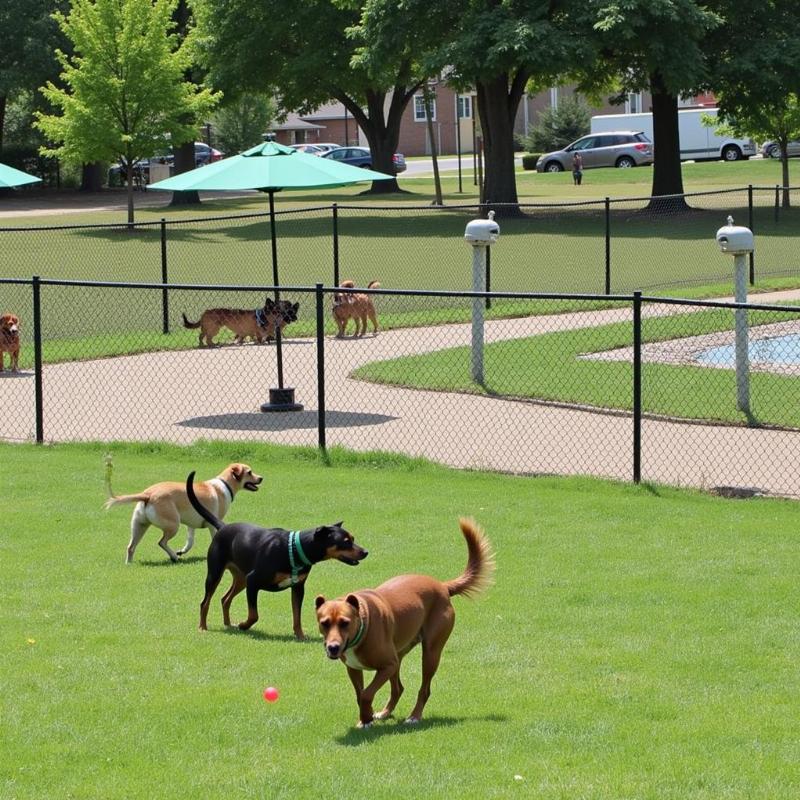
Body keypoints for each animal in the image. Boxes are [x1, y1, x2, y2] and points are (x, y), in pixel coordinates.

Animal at [103, 462, 264, 564]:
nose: (262, 478)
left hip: (139, 525)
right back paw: (174, 557)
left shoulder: (191, 525)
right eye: (249, 472)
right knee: (161, 542)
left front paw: (182, 551)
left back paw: (129, 564)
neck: (224, 485)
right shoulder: (213, 524)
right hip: (173, 525)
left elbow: (190, 542)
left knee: (131, 547)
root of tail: (147, 494)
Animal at [187, 468, 368, 636]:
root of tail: (223, 527)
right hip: (216, 573)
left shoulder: (298, 587)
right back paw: (203, 627)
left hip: (241, 578)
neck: (293, 550)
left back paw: (228, 624)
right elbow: (254, 615)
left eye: (353, 538)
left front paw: (300, 635)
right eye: (346, 542)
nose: (365, 552)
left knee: (225, 599)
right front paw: (244, 625)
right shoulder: (253, 581)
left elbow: (297, 616)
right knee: (205, 602)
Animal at [314, 516, 490, 728]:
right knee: (398, 688)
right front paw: (366, 718)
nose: (333, 647)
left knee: (424, 689)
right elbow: (360, 694)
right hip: (400, 653)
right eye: (324, 623)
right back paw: (385, 712)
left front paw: (366, 717)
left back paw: (414, 716)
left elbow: (366, 694)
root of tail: (442, 586)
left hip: (430, 652)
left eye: (344, 622)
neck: (362, 625)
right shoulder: (354, 668)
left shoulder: (388, 665)